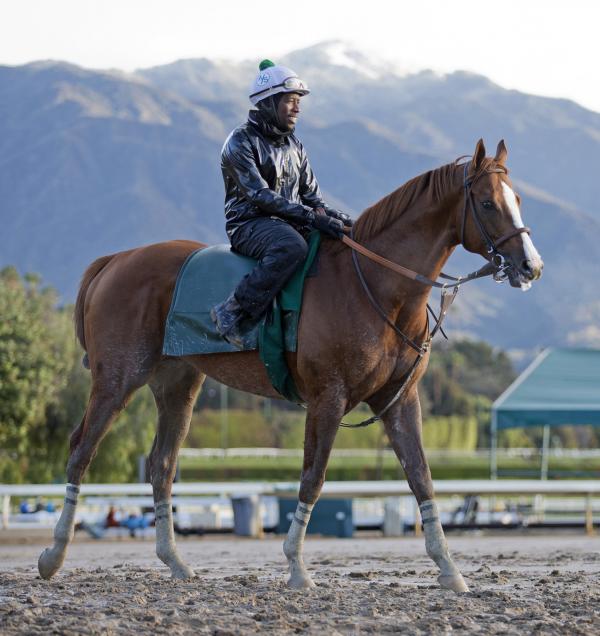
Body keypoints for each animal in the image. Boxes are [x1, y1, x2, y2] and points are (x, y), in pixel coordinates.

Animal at [37, 139, 544, 592]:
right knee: (81, 450)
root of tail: (116, 260)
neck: (375, 286)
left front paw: (448, 568)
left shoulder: (401, 400)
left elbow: (421, 478)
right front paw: (298, 567)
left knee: (161, 465)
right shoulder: (328, 399)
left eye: (517, 200)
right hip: (118, 378)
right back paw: (54, 555)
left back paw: (175, 562)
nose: (530, 266)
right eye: (487, 203)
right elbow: (312, 479)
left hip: (177, 385)